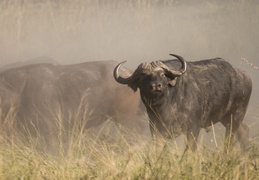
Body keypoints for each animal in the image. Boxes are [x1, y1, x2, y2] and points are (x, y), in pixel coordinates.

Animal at [115, 54, 253, 151]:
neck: (165, 107)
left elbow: (191, 150)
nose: (155, 86)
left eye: (162, 74)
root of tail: (244, 75)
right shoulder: (156, 130)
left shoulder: (193, 128)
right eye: (143, 76)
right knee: (244, 131)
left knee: (230, 140)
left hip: (236, 115)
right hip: (226, 117)